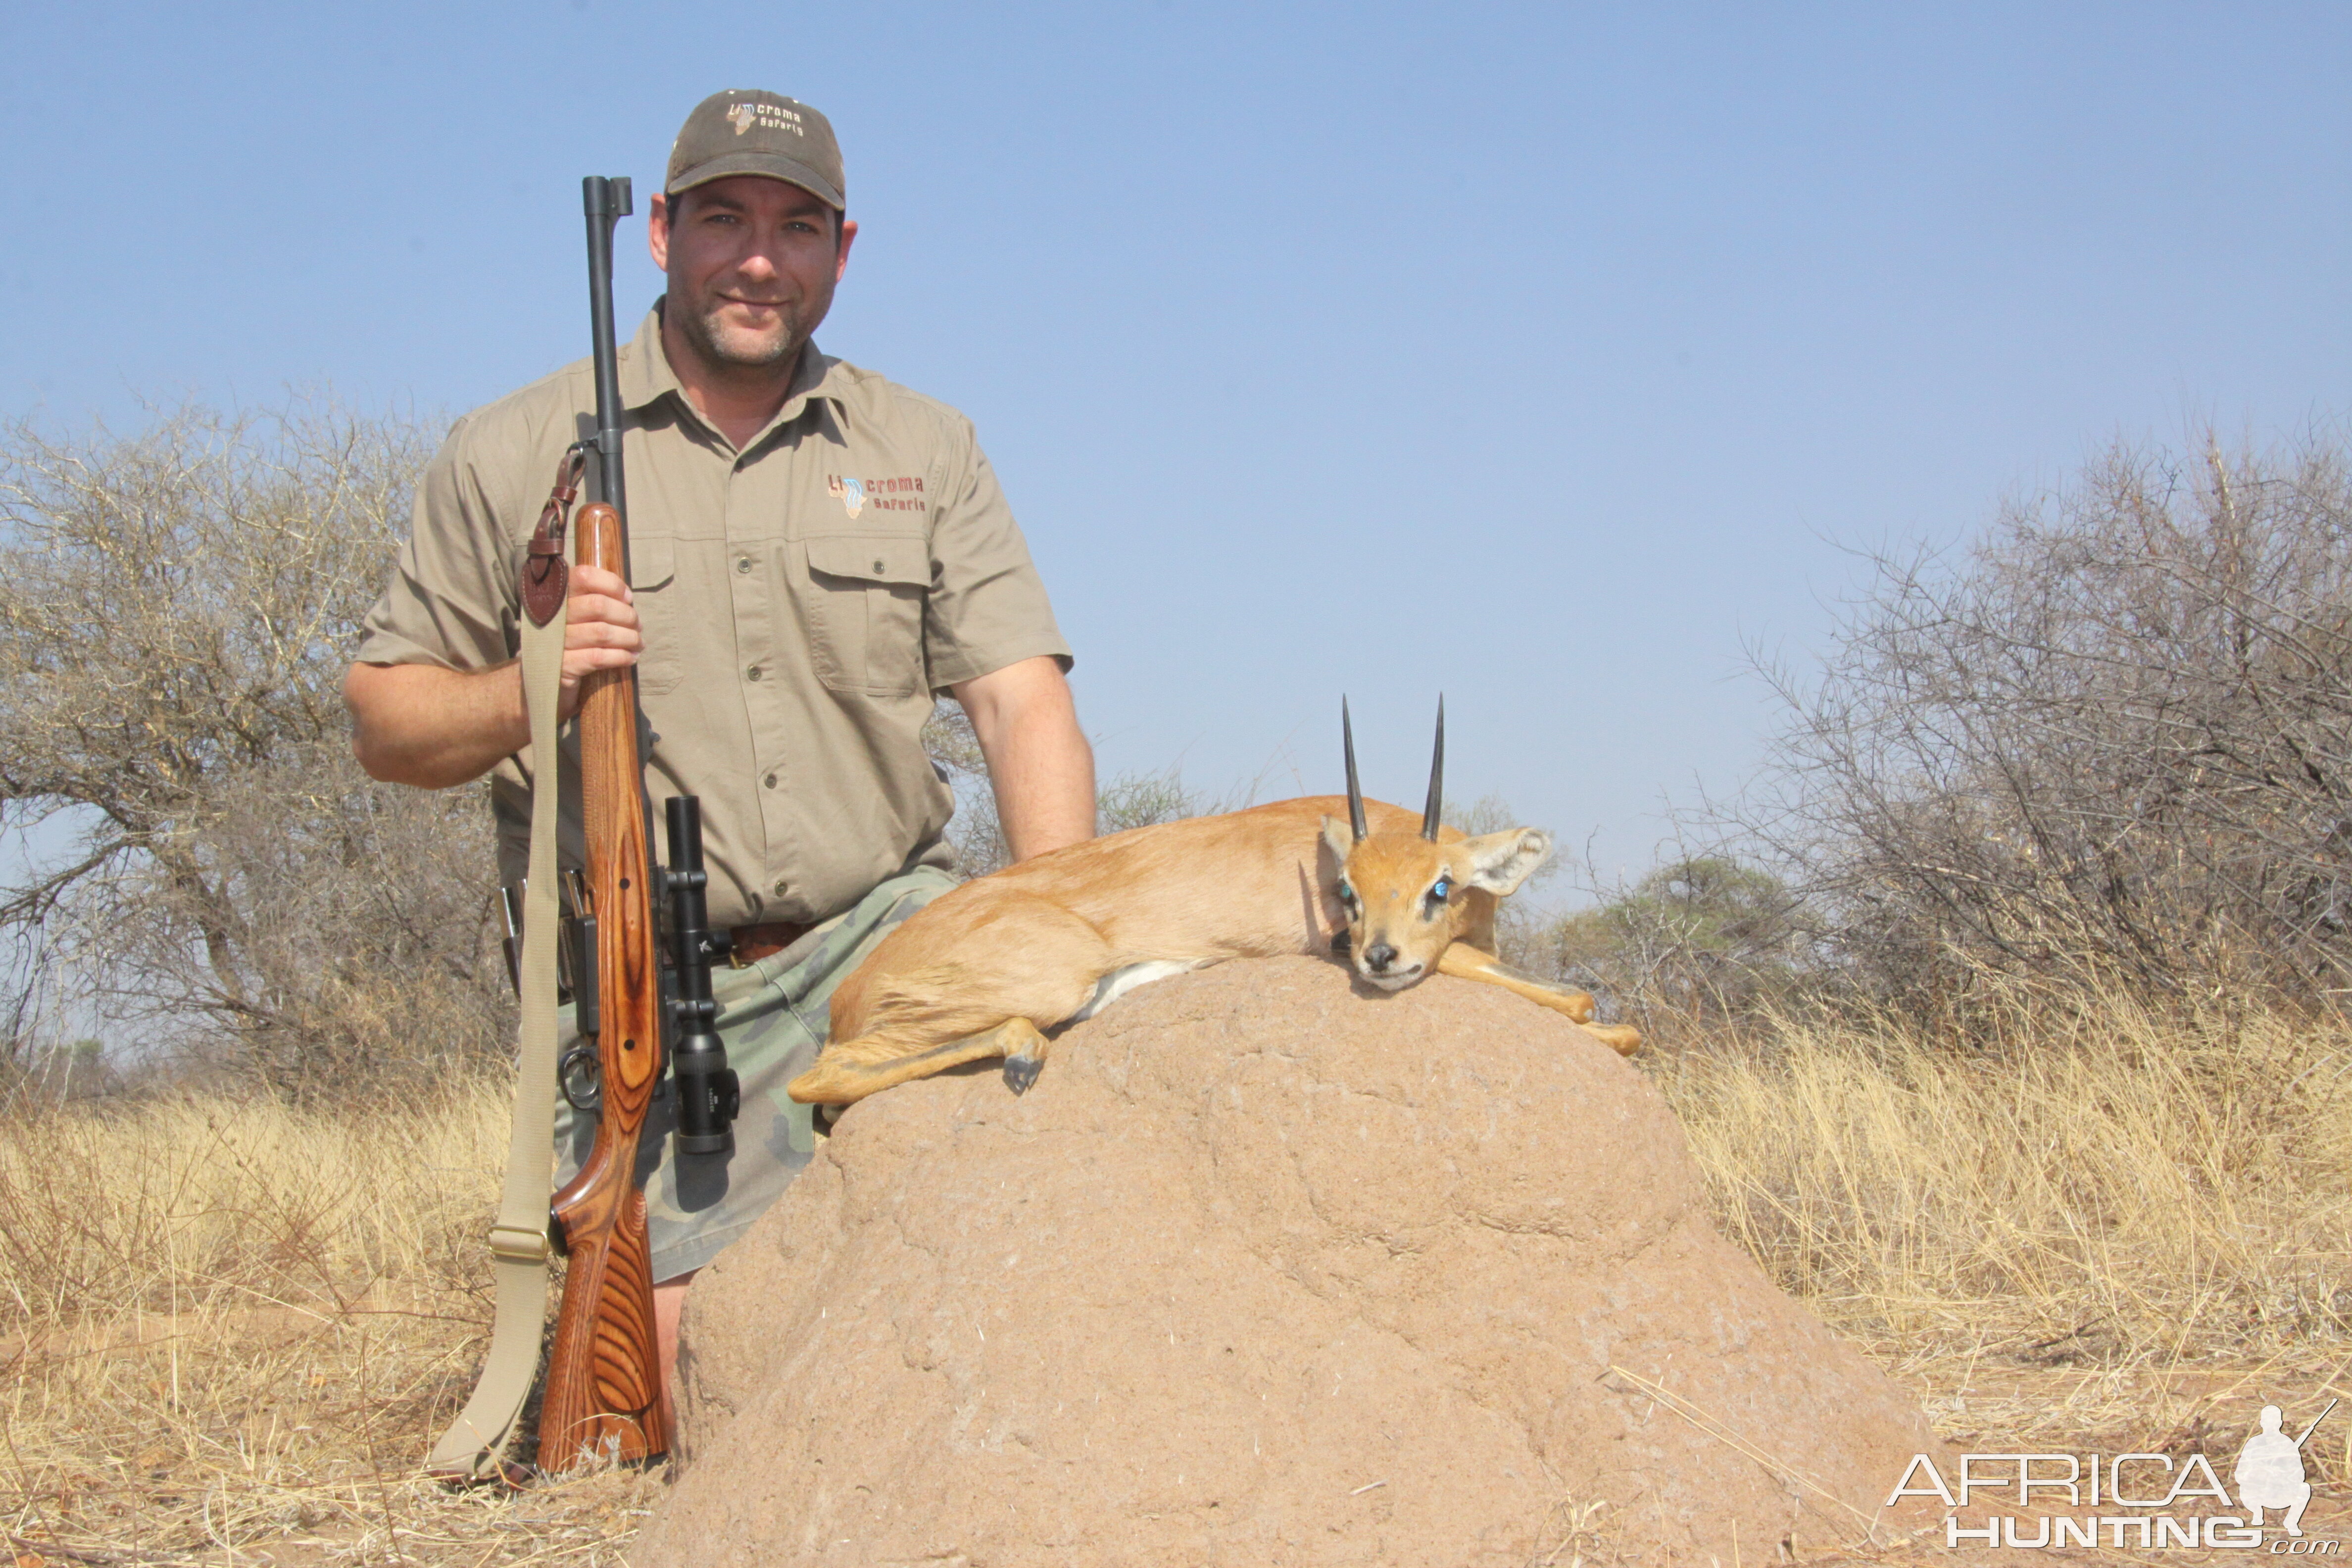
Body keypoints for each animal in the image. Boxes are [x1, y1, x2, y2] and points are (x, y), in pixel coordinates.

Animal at [785, 700, 1637, 1105]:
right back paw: (1024, 1054)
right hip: (1045, 985)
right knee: (817, 1079)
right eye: (1348, 894)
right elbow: (1575, 999)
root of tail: (853, 990)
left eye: (1441, 886)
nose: (1380, 957)